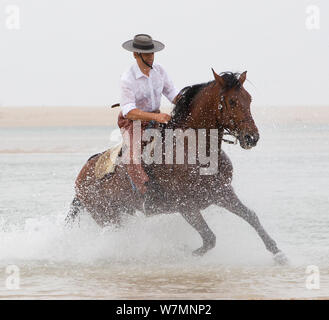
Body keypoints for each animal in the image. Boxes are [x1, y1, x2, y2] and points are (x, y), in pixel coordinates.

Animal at [67, 69, 288, 264]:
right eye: (232, 101)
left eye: (249, 99)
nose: (252, 137)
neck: (195, 150)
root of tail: (80, 180)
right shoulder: (186, 206)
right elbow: (209, 238)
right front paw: (181, 253)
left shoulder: (222, 193)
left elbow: (251, 216)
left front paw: (278, 253)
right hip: (107, 217)